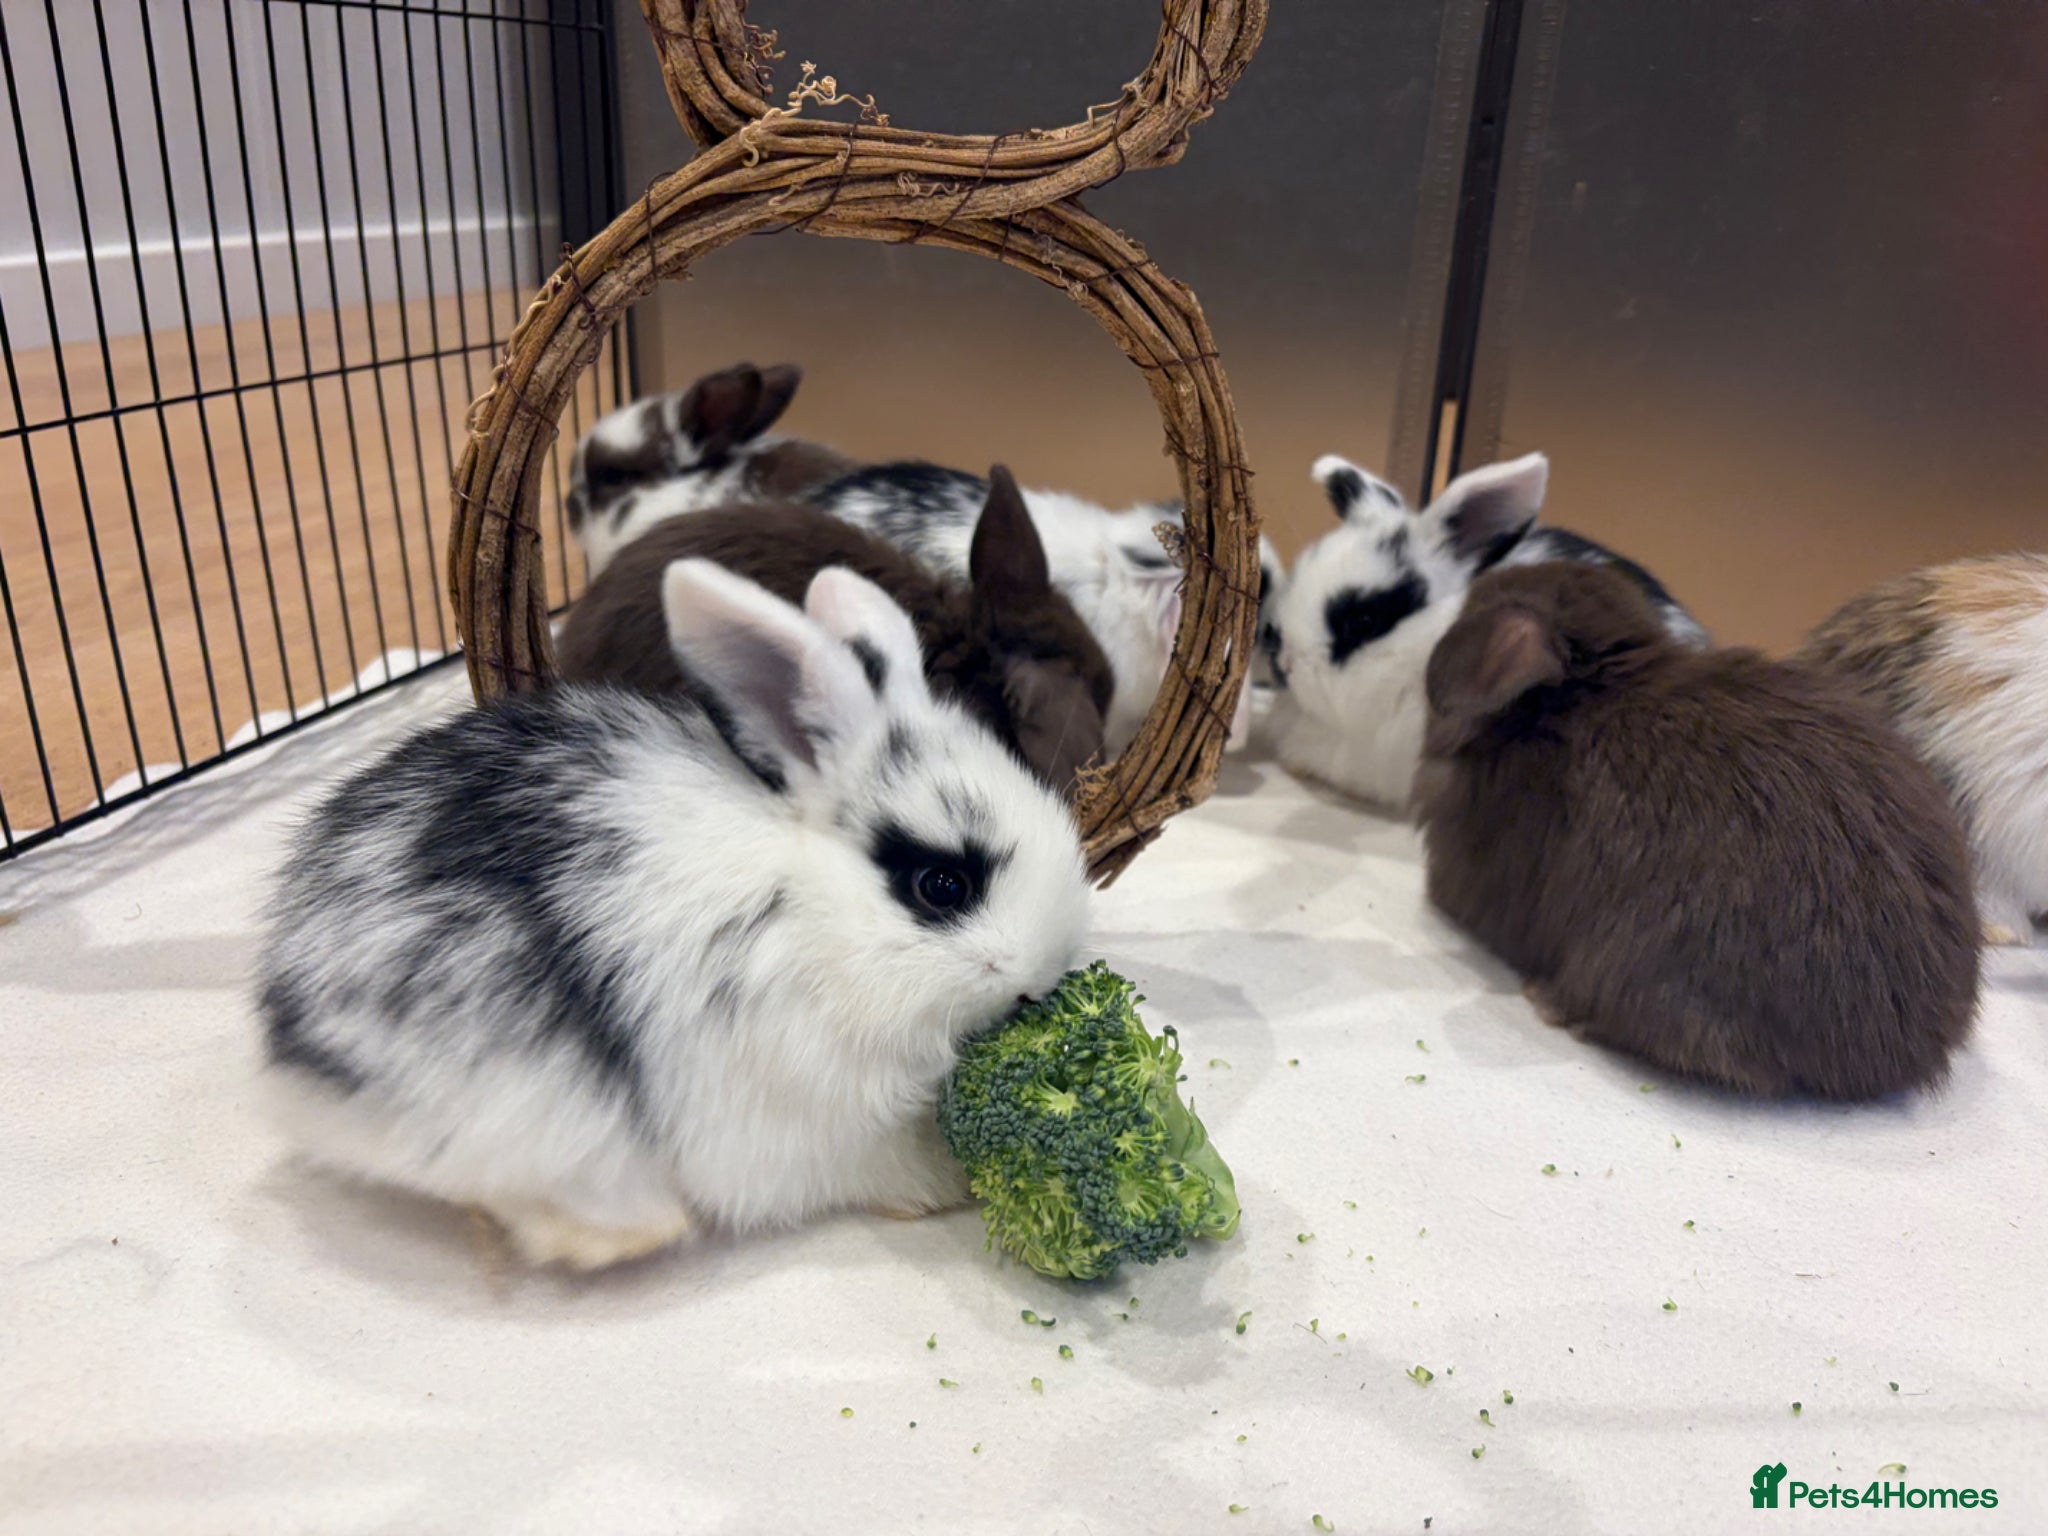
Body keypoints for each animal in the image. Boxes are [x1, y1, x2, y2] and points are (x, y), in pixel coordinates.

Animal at [258, 562, 1091, 1270]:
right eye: (942, 885)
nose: (1042, 978)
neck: (809, 904)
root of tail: (285, 1043)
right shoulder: (815, 1114)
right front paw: (940, 1188)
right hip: (522, 1110)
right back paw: (625, 1234)